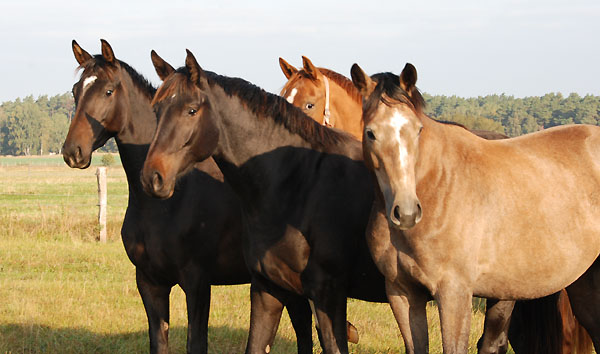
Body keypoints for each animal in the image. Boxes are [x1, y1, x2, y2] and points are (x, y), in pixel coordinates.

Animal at [61, 39, 314, 354]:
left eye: (108, 91)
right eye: (76, 90)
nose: (73, 152)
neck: (166, 204)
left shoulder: (197, 283)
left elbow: (196, 343)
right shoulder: (150, 283)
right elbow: (158, 342)